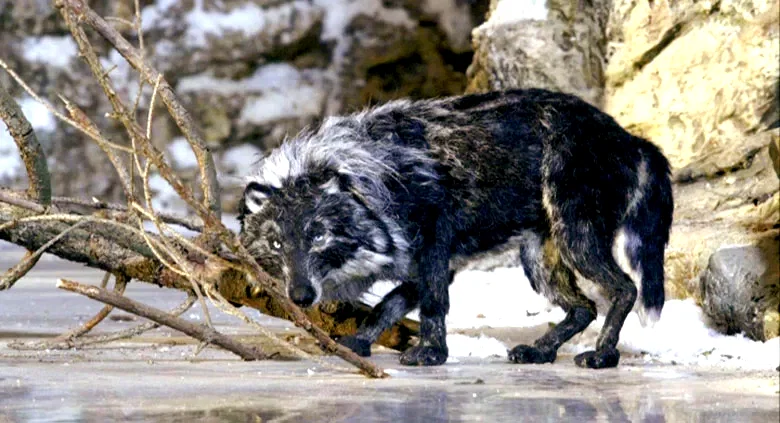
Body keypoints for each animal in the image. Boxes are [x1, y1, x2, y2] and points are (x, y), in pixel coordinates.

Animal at [237, 89, 674, 368]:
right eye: (275, 243)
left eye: (318, 235)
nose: (300, 296)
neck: (377, 176)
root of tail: (630, 139)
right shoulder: (427, 264)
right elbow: (386, 305)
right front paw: (358, 342)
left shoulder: (433, 249)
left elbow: (432, 305)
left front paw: (431, 355)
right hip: (538, 260)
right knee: (583, 307)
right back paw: (539, 352)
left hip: (575, 238)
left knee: (624, 289)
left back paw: (602, 356)